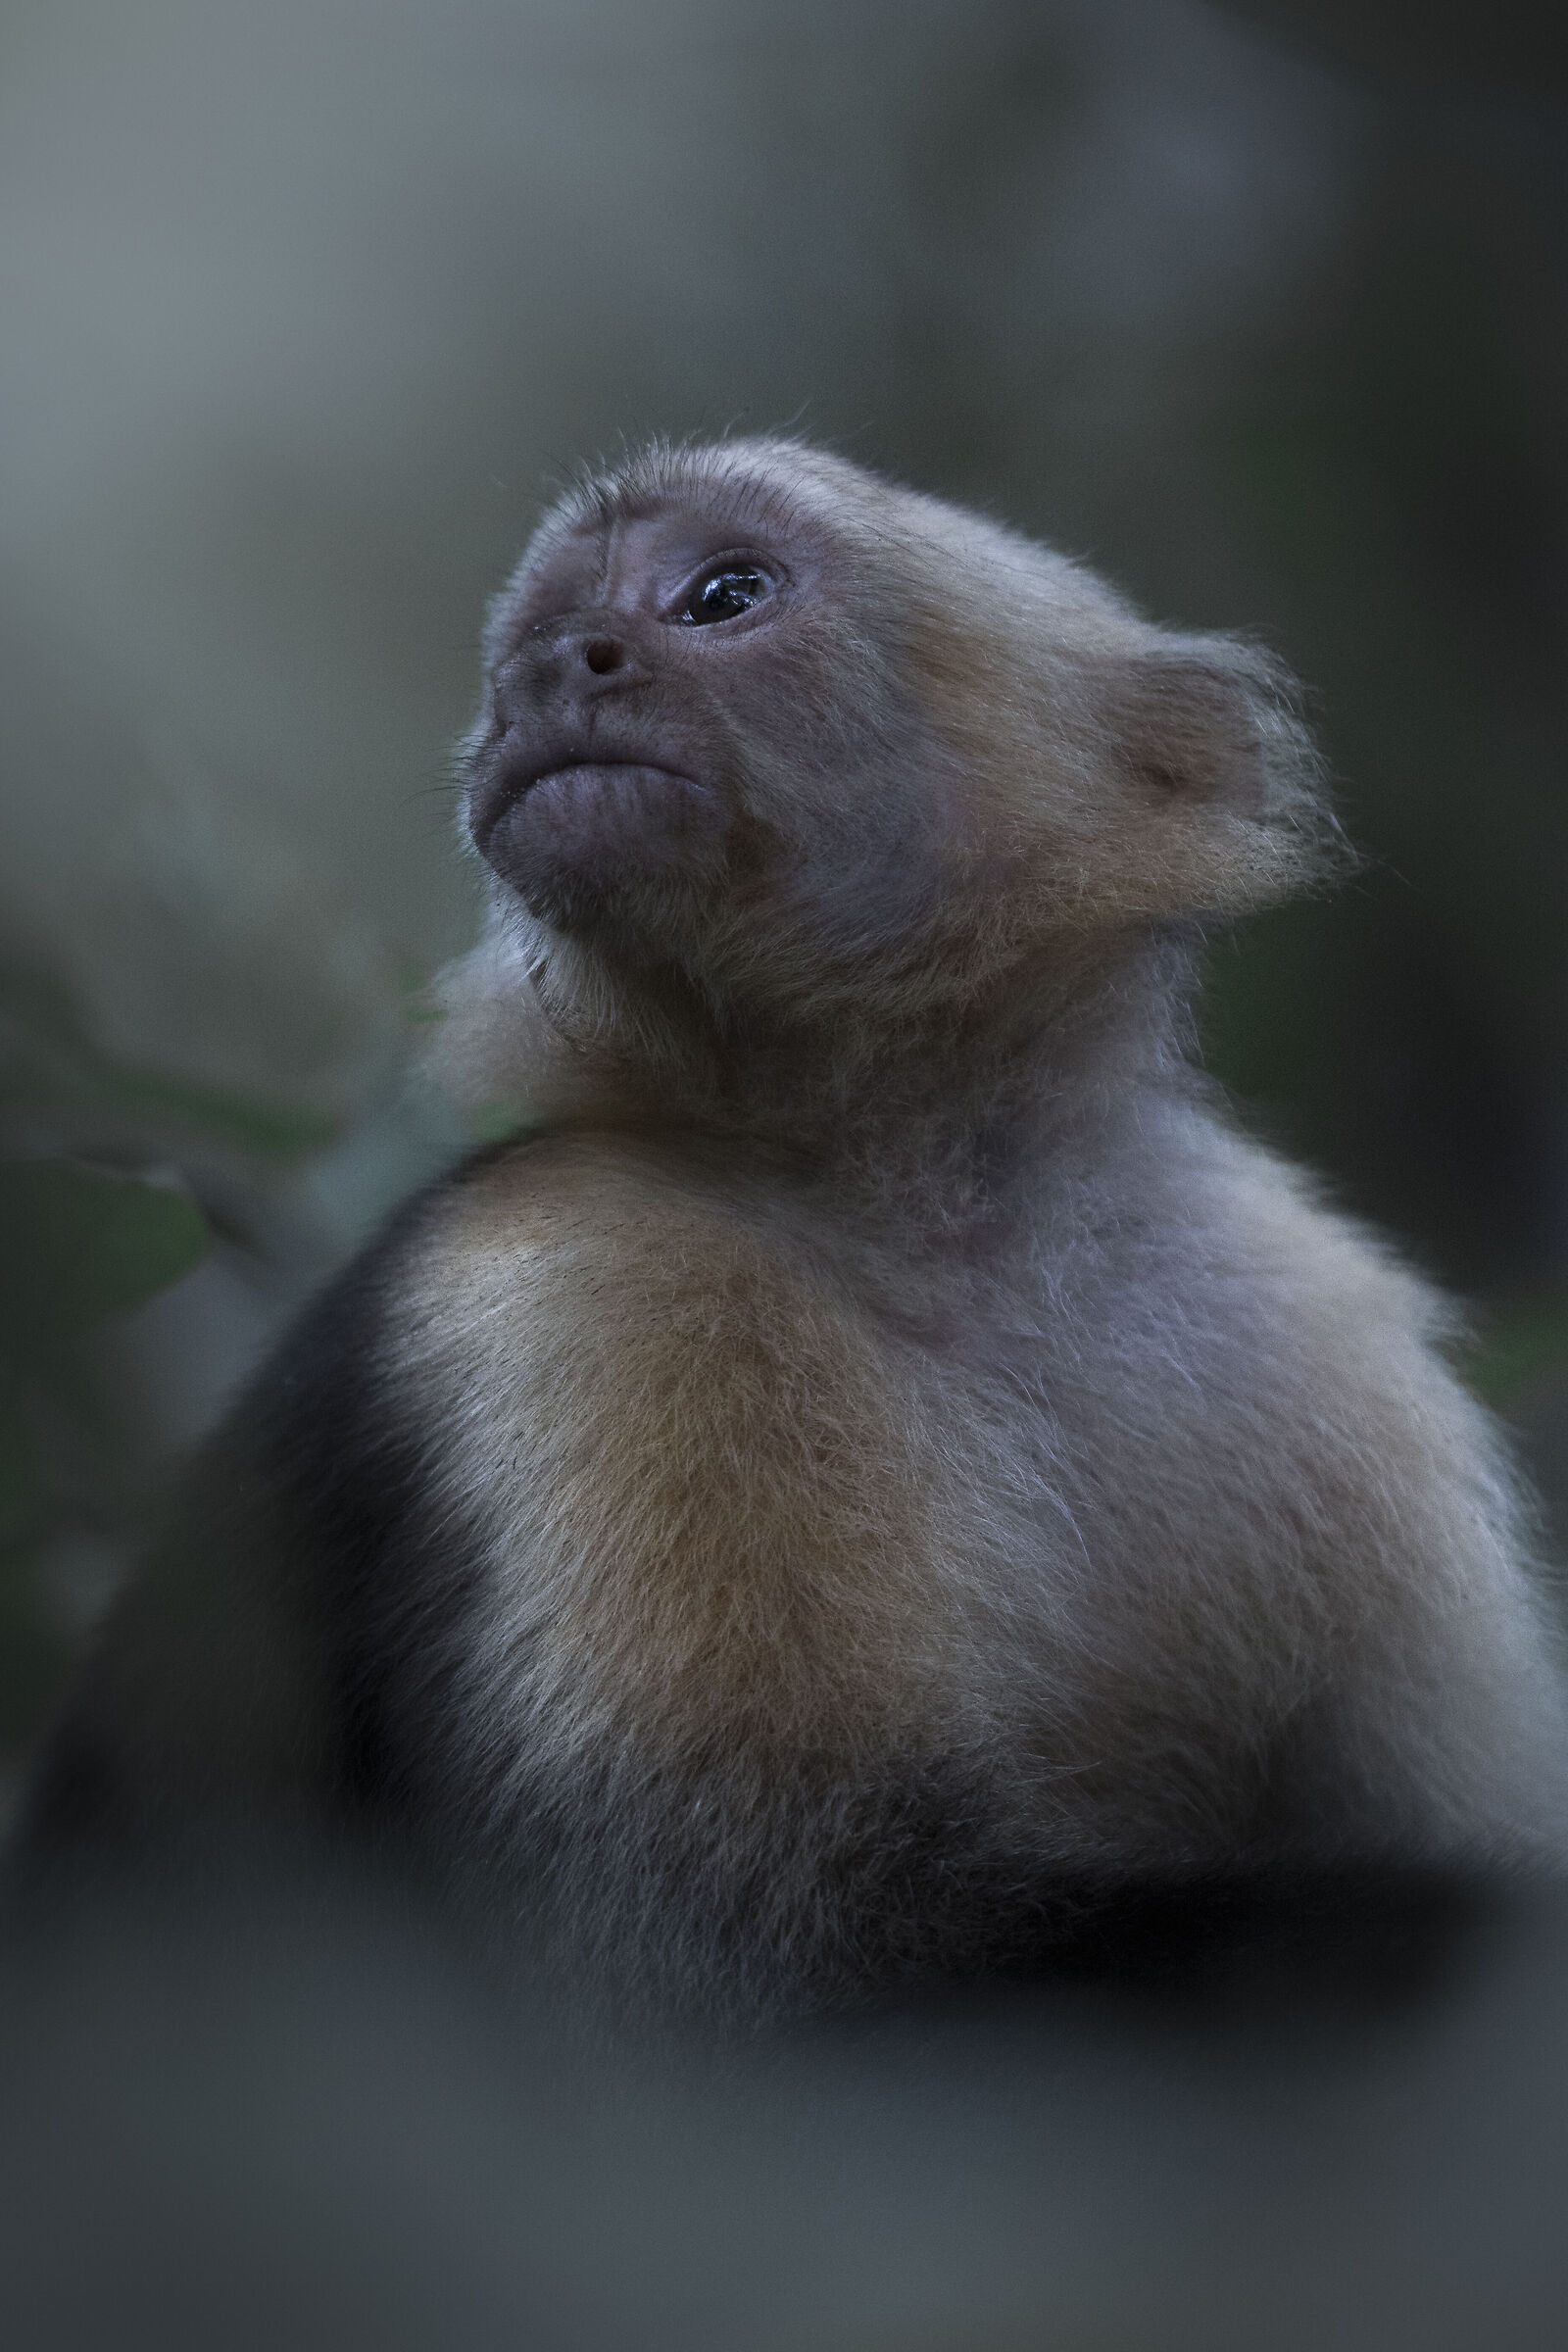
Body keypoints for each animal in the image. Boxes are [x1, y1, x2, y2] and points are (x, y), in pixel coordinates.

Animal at [14, 437, 1568, 2031]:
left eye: (723, 595)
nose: (553, 670)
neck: (929, 1209)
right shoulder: (597, 1284)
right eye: (523, 647)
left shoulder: (1307, 1321)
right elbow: (740, 1970)